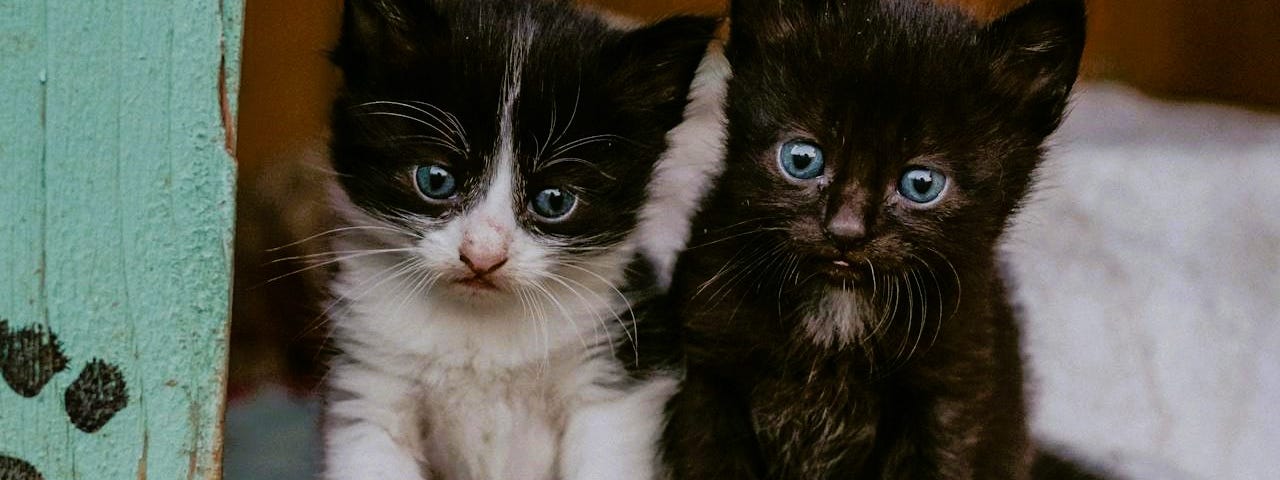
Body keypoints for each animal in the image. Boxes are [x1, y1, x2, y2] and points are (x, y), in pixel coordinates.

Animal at [322, 1, 721, 478]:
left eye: (554, 200)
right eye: (435, 180)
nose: (483, 256)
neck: (479, 325)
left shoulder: (613, 373)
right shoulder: (370, 385)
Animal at [665, 0, 1085, 480]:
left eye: (921, 184)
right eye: (802, 159)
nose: (845, 231)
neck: (838, 312)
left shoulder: (948, 398)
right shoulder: (708, 377)